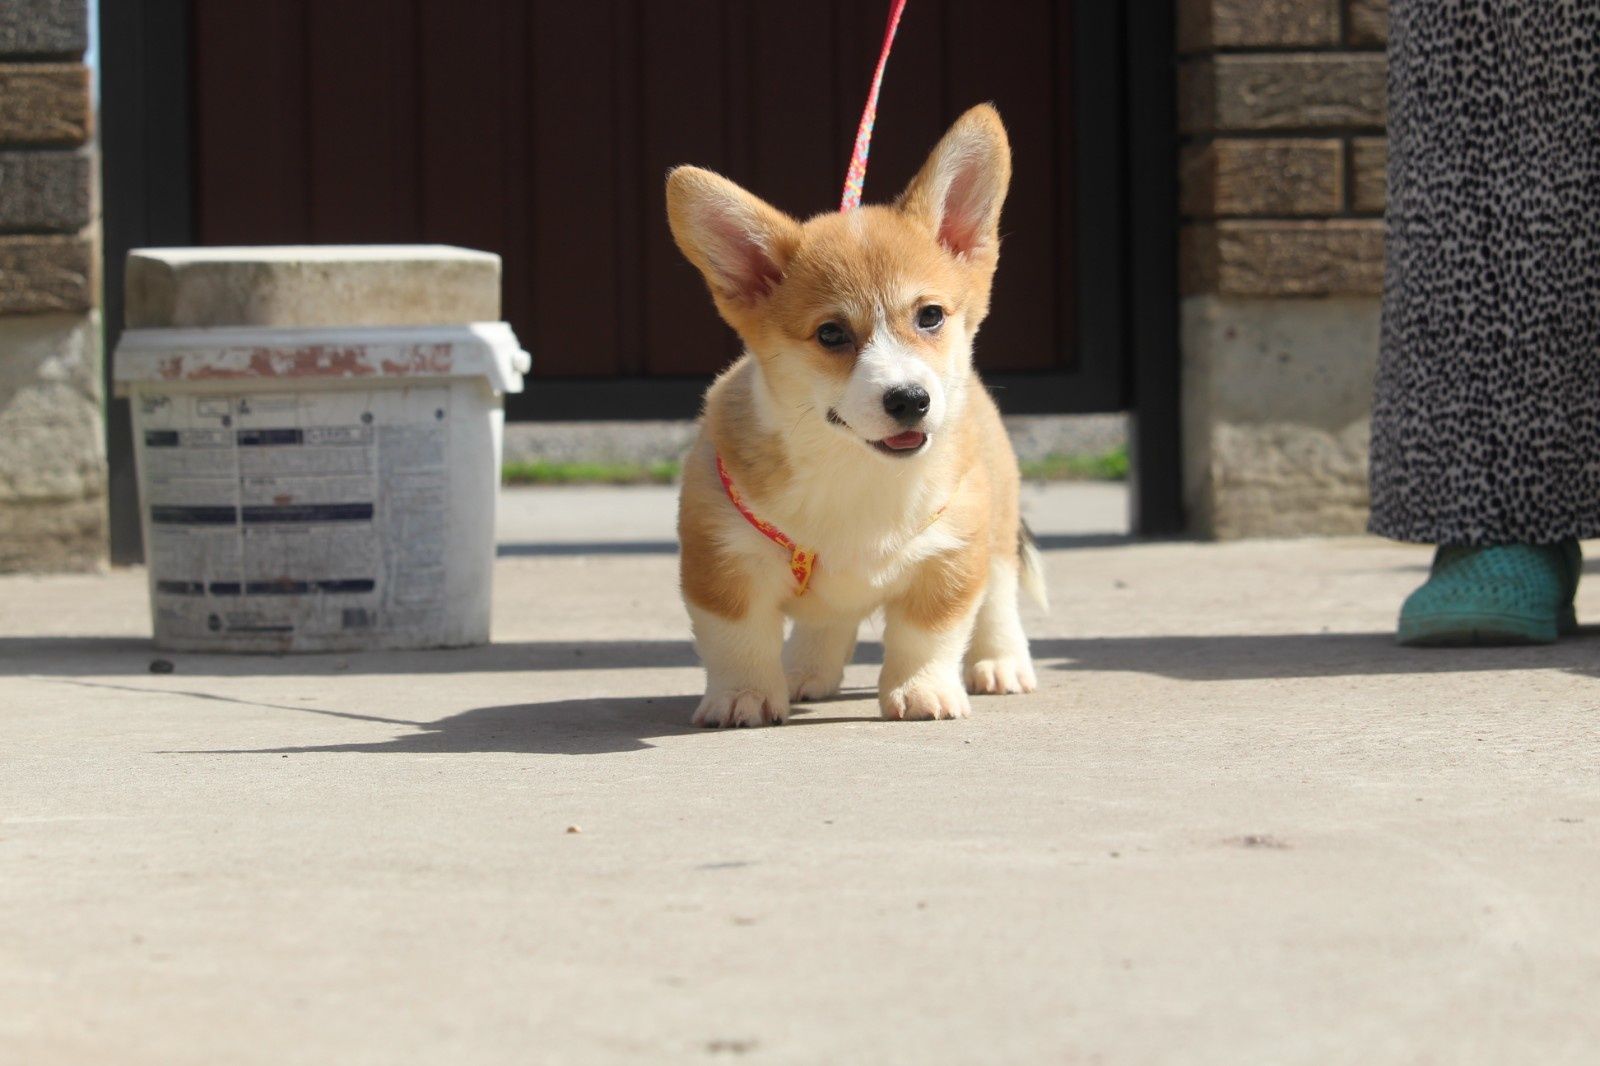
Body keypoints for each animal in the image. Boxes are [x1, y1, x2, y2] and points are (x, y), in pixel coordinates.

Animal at [659, 104, 1036, 726]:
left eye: (930, 316)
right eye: (831, 334)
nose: (910, 399)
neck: (855, 471)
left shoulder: (952, 554)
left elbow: (928, 634)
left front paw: (922, 692)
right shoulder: (720, 560)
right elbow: (737, 638)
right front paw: (744, 697)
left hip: (998, 524)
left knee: (1000, 596)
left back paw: (1000, 664)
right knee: (827, 621)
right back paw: (805, 674)